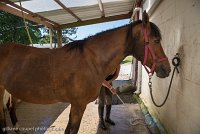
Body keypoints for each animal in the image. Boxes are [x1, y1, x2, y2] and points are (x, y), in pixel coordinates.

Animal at [0, 11, 170, 134]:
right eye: (156, 40)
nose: (167, 69)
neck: (91, 61)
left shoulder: (76, 105)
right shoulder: (78, 105)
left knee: (10, 109)